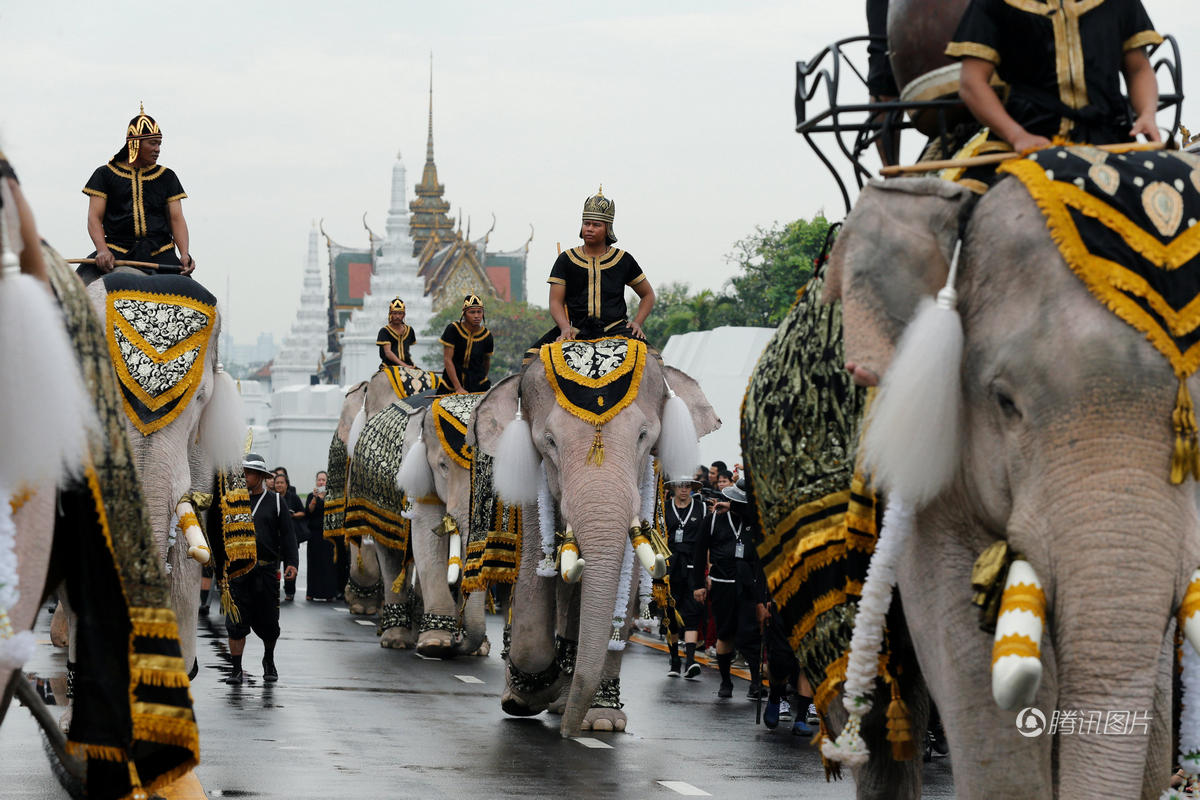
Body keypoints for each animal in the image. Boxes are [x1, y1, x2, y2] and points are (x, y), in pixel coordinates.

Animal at [468, 335, 710, 734]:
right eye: (549, 442)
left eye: (644, 436)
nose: (568, 734)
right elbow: (535, 575)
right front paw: (526, 696)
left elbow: (626, 585)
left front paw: (600, 722)